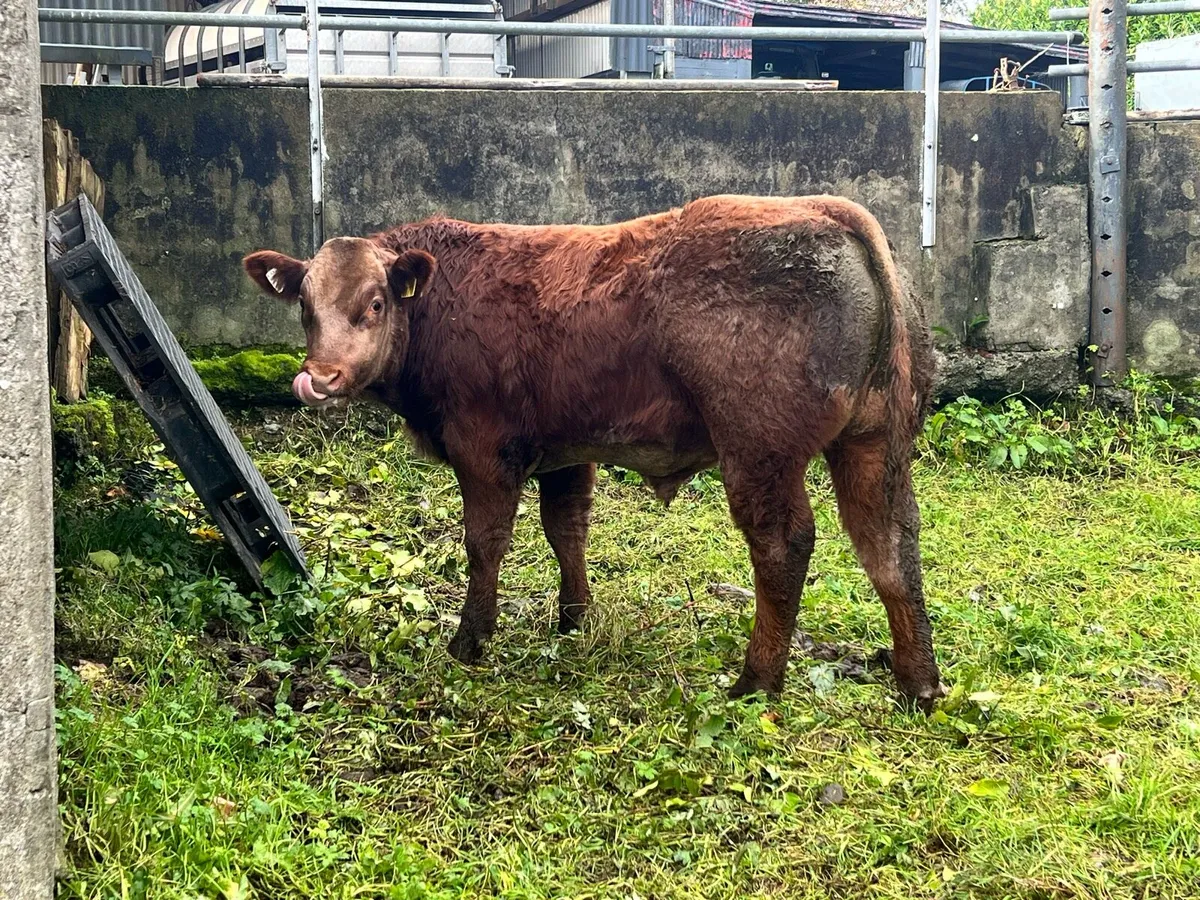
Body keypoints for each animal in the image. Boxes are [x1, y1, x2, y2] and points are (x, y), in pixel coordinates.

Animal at [244, 194, 944, 709]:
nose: (319, 378)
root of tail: (830, 211)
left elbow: (484, 542)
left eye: (375, 302)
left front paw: (472, 639)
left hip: (758, 451)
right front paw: (574, 617)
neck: (443, 304)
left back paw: (756, 681)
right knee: (890, 543)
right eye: (305, 307)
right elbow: (567, 528)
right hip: (874, 441)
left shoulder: (483, 450)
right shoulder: (563, 451)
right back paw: (918, 682)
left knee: (783, 544)